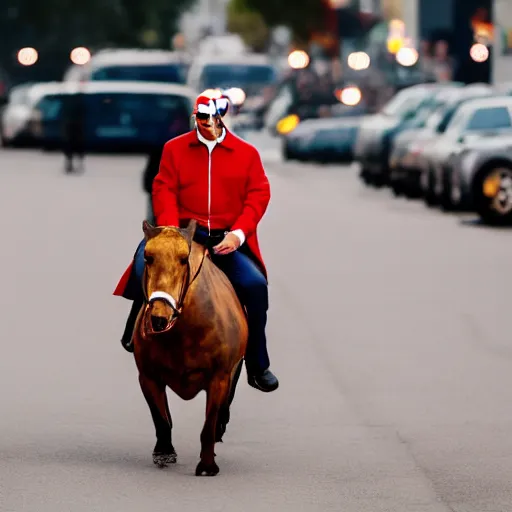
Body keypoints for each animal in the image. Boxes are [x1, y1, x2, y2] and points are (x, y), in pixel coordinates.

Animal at [132, 219, 248, 476]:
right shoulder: (148, 376)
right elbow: (161, 418)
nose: (159, 317)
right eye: (147, 257)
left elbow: (209, 423)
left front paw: (207, 465)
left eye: (184, 259)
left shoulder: (219, 378)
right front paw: (164, 452)